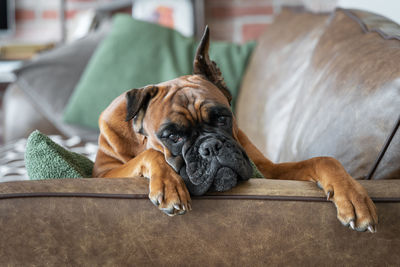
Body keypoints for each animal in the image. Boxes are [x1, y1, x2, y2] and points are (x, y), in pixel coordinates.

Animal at [94, 26, 378, 233]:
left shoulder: (271, 172)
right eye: (173, 136)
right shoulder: (103, 175)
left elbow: (324, 160)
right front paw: (169, 184)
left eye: (222, 118)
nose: (210, 147)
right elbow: (150, 154)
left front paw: (353, 195)